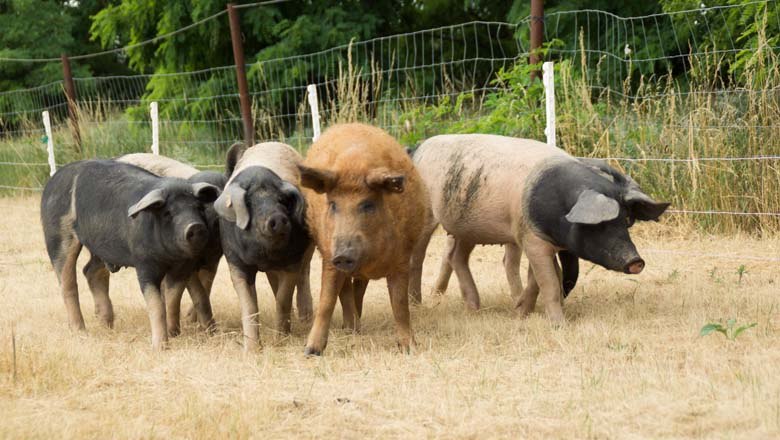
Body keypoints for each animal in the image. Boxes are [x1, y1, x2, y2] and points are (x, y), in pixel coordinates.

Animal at [215, 143, 312, 348]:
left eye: (282, 201)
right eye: (251, 203)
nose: (278, 217)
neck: (264, 256)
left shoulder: (293, 260)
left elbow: (283, 298)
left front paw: (280, 340)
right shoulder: (234, 261)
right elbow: (249, 305)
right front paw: (251, 349)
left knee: (304, 275)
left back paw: (306, 319)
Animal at [412, 134, 668, 324]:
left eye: (626, 221)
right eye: (601, 225)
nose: (636, 261)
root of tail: (418, 149)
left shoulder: (537, 239)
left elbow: (542, 278)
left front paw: (520, 312)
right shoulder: (533, 239)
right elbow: (550, 283)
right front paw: (559, 325)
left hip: (467, 226)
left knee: (456, 257)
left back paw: (474, 308)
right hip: (428, 216)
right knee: (419, 258)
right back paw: (417, 303)